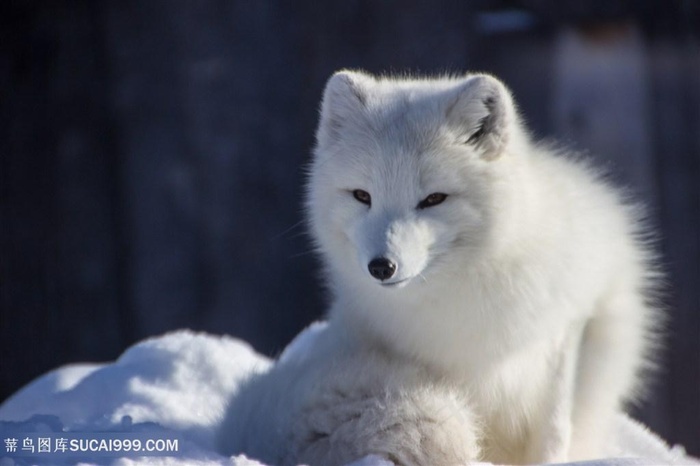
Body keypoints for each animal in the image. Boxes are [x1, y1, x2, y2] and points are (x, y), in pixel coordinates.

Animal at [220, 70, 660, 466]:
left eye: (433, 199)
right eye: (362, 195)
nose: (381, 266)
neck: (460, 294)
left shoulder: (562, 335)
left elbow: (551, 434)